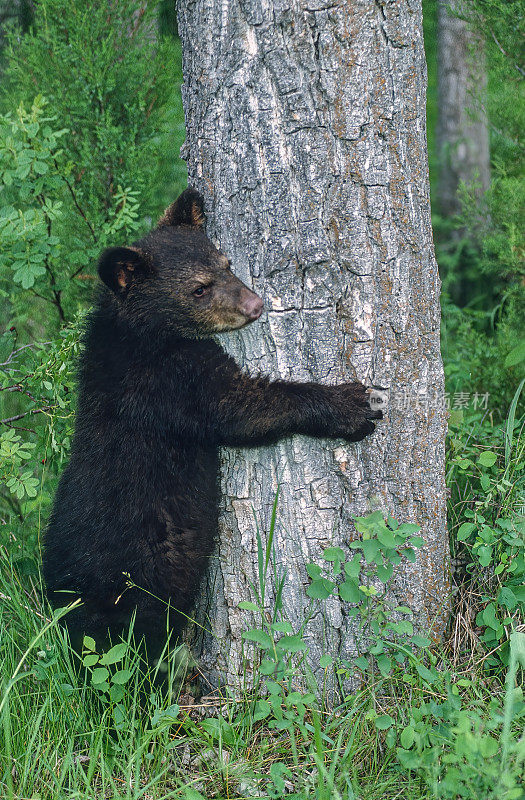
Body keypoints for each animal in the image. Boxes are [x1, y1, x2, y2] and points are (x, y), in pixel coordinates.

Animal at [43, 189, 380, 664]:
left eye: (226, 263)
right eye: (199, 288)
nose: (255, 305)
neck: (140, 330)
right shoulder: (167, 382)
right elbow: (242, 408)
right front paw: (351, 405)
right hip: (130, 599)